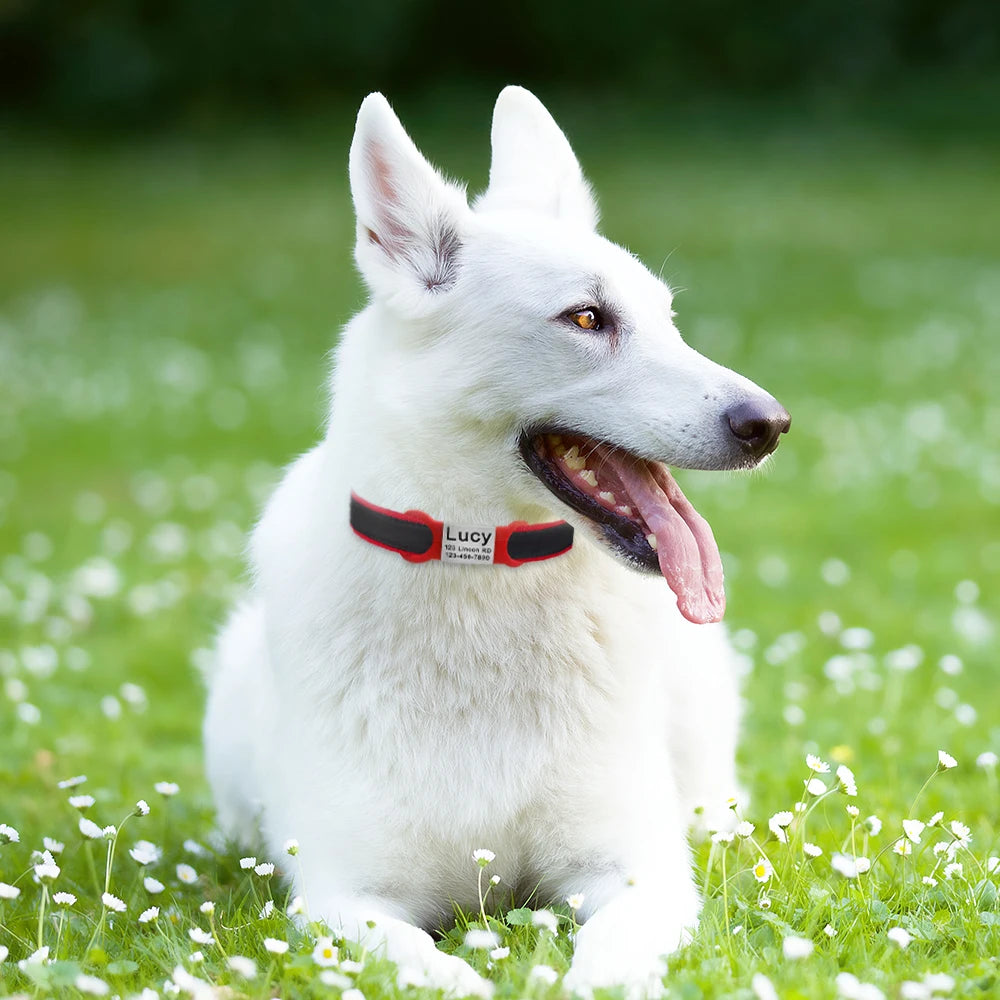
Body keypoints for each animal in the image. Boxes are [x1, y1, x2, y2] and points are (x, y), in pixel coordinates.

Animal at [203, 88, 788, 1000]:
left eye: (668, 318)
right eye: (586, 317)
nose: (769, 425)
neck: (482, 567)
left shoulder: (639, 874)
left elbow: (607, 964)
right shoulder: (343, 900)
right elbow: (435, 968)